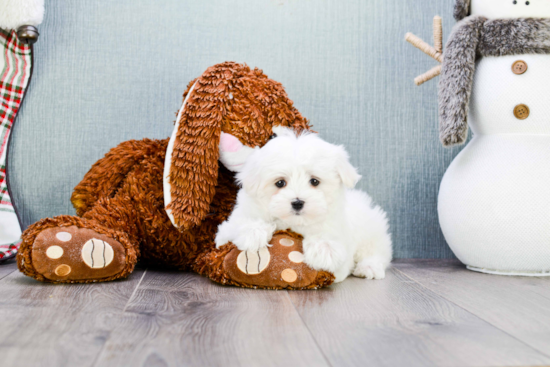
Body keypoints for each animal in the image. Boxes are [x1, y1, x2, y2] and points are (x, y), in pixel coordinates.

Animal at [216, 128, 392, 284]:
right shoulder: (231, 224)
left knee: (377, 251)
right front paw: (252, 233)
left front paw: (324, 249)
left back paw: (369, 267)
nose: (297, 202)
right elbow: (240, 223)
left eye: (314, 181)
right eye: (280, 183)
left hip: (371, 230)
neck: (293, 223)